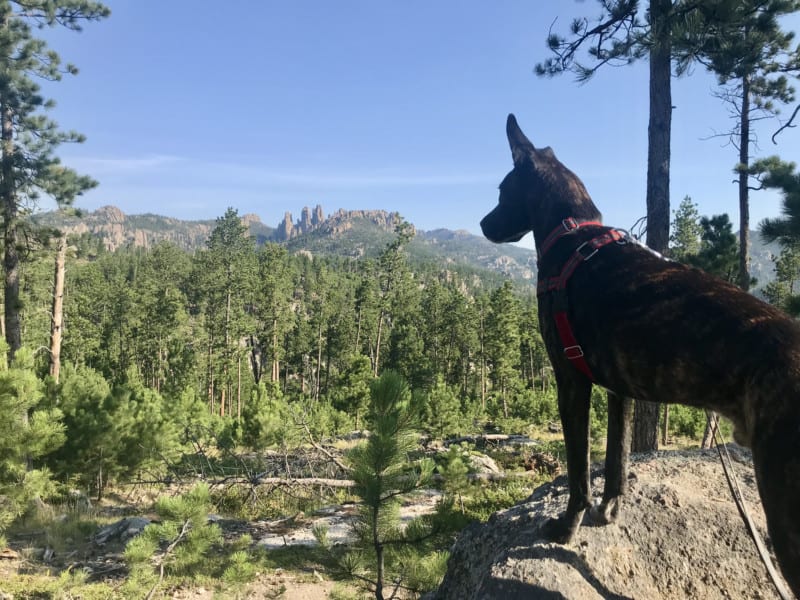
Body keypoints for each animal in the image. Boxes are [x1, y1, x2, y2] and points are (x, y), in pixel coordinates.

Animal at [482, 113, 800, 596]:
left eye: (502, 191)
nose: (482, 224)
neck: (572, 230)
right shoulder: (621, 390)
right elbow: (618, 459)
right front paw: (609, 511)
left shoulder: (571, 382)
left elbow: (579, 471)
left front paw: (567, 528)